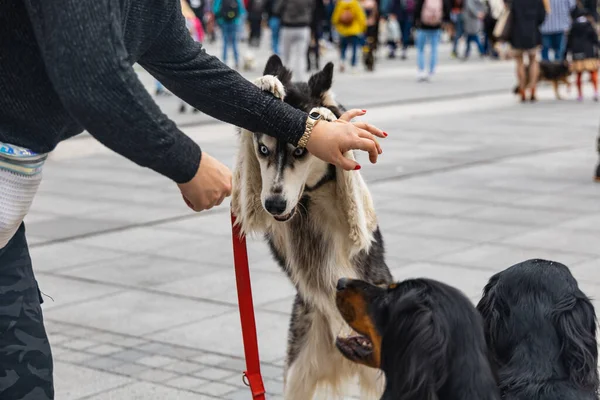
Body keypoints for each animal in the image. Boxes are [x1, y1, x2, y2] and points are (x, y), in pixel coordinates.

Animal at [231, 54, 394, 398]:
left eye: (301, 151)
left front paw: (325, 116)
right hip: (298, 370)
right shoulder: (252, 202)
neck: (309, 197)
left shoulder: (356, 223)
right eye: (263, 150)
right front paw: (266, 83)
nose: (275, 205)